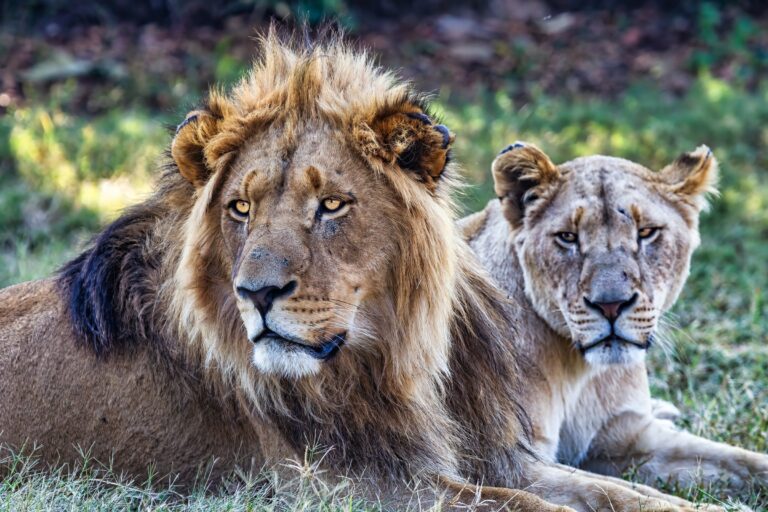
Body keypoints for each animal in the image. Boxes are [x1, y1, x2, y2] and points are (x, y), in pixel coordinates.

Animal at [461, 141, 768, 504]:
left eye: (647, 232)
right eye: (567, 237)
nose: (610, 305)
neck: (579, 373)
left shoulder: (629, 437)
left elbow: (742, 460)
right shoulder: (506, 466)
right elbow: (618, 494)